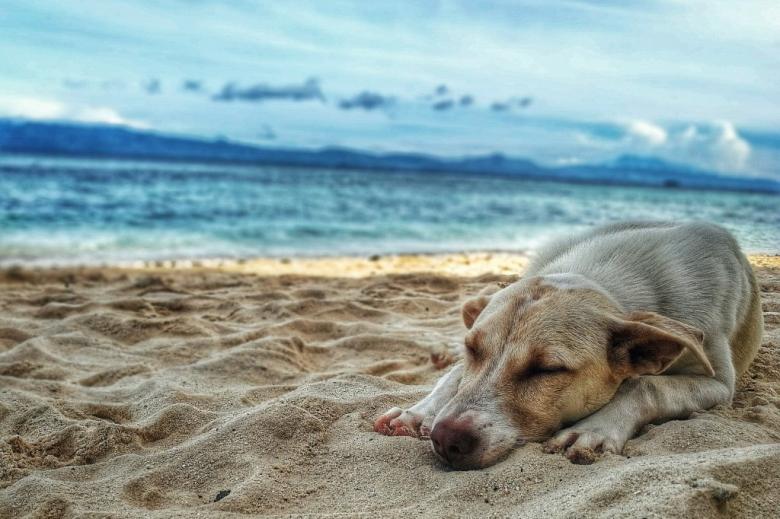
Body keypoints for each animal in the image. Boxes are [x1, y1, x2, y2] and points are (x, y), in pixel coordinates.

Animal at [374, 221, 764, 470]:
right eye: (472, 350)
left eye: (546, 369)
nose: (445, 439)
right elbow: (454, 376)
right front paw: (419, 411)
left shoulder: (718, 383)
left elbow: (647, 384)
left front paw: (595, 429)